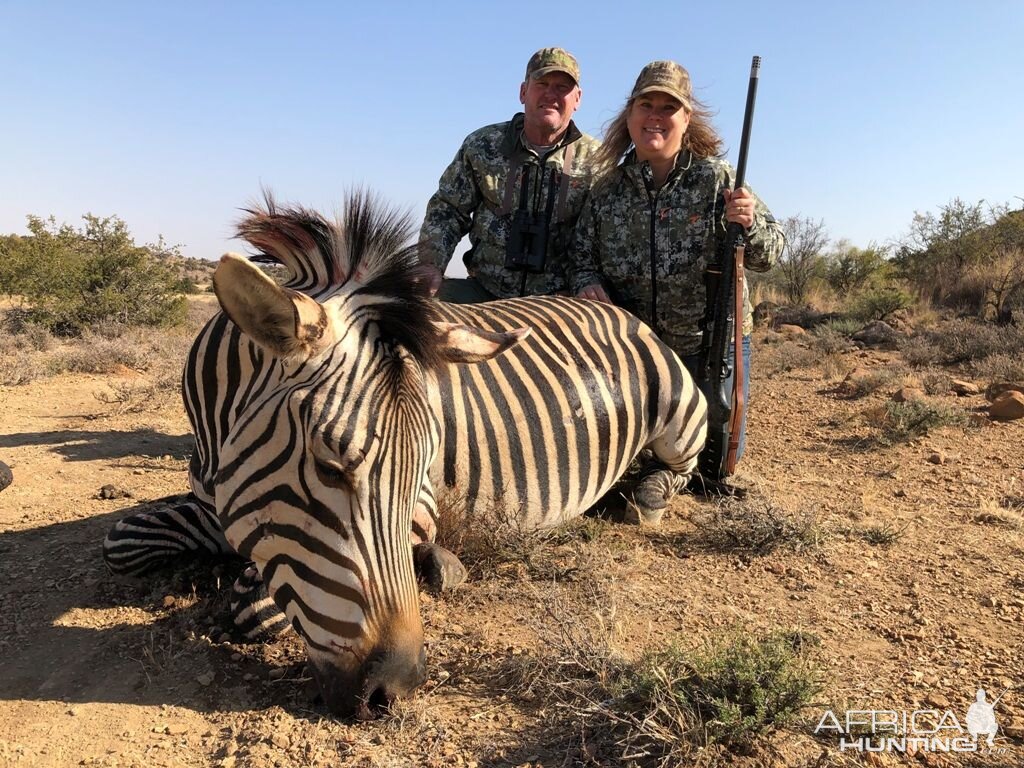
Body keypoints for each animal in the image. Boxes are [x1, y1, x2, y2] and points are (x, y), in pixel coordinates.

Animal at [103, 193, 708, 720]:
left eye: (424, 470)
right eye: (329, 466)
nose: (394, 690)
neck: (218, 442)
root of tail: (612, 307)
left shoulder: (422, 511)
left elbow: (259, 606)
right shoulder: (214, 498)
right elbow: (121, 543)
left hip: (680, 419)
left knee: (679, 469)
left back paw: (643, 496)